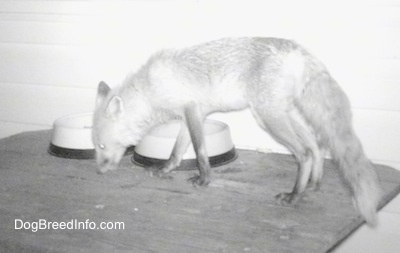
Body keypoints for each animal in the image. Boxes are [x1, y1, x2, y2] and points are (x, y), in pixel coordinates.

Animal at [93, 37, 382, 225]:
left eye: (102, 146)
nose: (98, 171)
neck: (149, 91)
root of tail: (297, 49)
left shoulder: (192, 110)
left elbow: (200, 152)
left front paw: (204, 180)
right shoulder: (191, 115)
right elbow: (177, 152)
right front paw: (165, 170)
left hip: (268, 118)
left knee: (305, 153)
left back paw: (294, 196)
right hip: (283, 114)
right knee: (316, 145)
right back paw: (313, 184)